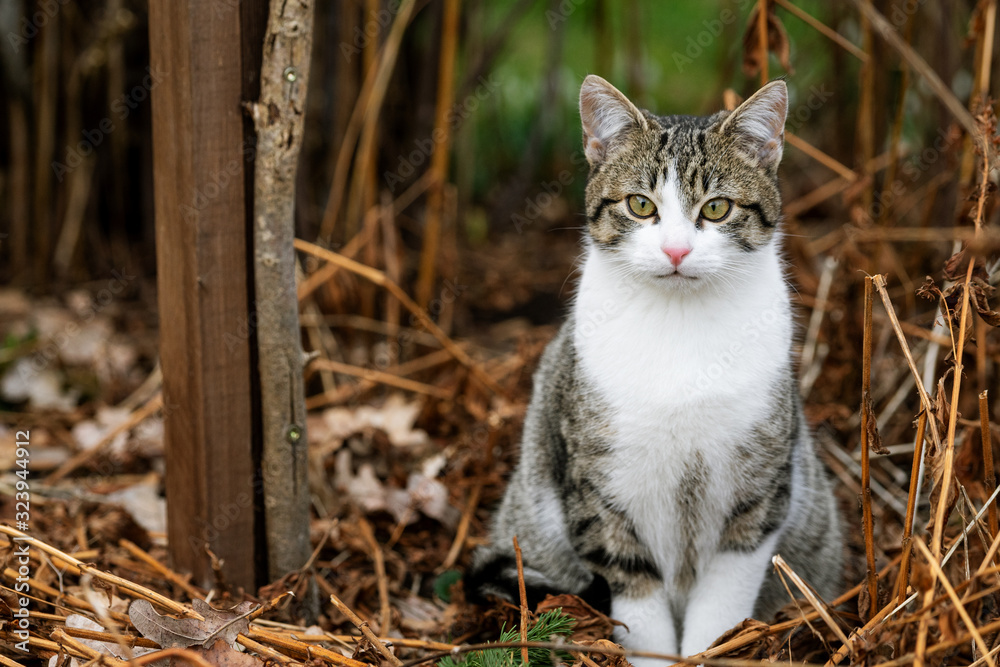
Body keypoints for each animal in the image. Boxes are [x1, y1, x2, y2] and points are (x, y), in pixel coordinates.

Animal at [464, 74, 840, 664]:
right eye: (641, 205)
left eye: (717, 208)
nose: (677, 251)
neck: (679, 326)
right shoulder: (599, 488)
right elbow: (636, 595)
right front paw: (653, 654)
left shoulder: (759, 488)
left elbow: (726, 591)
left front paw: (713, 649)